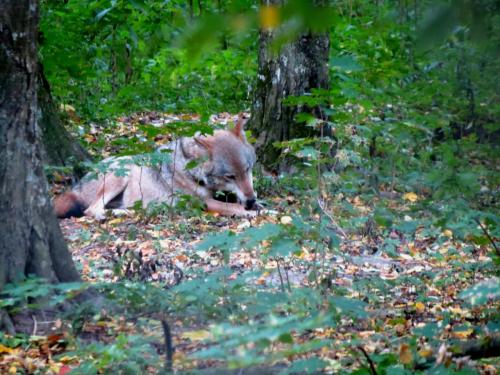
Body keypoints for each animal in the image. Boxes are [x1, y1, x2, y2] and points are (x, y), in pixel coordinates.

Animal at [53, 116, 260, 219]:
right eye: (230, 176)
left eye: (247, 170)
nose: (251, 200)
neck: (190, 169)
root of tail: (76, 185)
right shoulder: (204, 203)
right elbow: (234, 207)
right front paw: (252, 212)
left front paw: (257, 205)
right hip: (120, 174)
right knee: (91, 210)